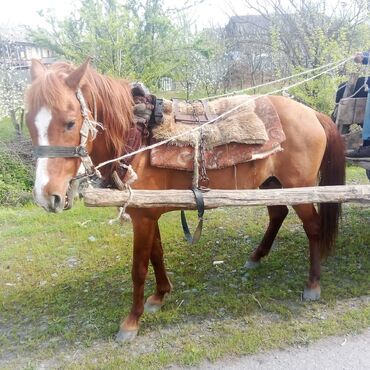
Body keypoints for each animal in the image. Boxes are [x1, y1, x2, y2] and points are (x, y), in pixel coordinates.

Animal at [25, 60, 344, 342]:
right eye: (29, 123)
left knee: (313, 228)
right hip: (271, 185)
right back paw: (256, 256)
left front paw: (131, 321)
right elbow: (157, 254)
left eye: (69, 122)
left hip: (300, 188)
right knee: (277, 214)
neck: (137, 140)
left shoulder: (143, 218)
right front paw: (160, 295)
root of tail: (313, 113)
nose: (47, 196)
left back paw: (313, 283)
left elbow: (139, 268)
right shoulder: (147, 213)